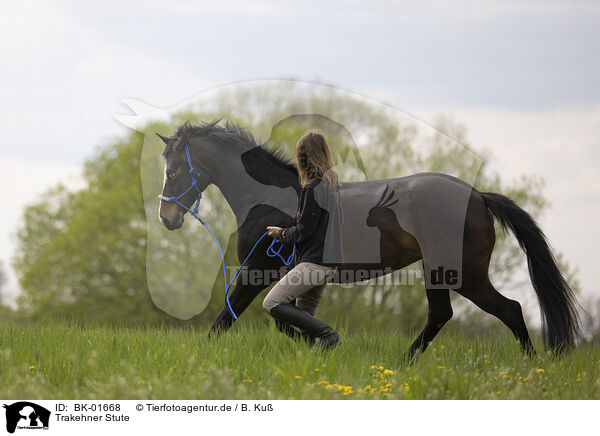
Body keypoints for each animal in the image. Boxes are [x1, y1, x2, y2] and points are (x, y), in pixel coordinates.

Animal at [157, 119, 580, 358]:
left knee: (508, 310)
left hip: (460, 273)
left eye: (174, 171)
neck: (270, 199)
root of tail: (478, 196)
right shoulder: (286, 276)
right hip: (441, 272)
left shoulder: (256, 270)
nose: (166, 217)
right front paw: (319, 346)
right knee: (446, 315)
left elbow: (226, 318)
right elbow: (282, 320)